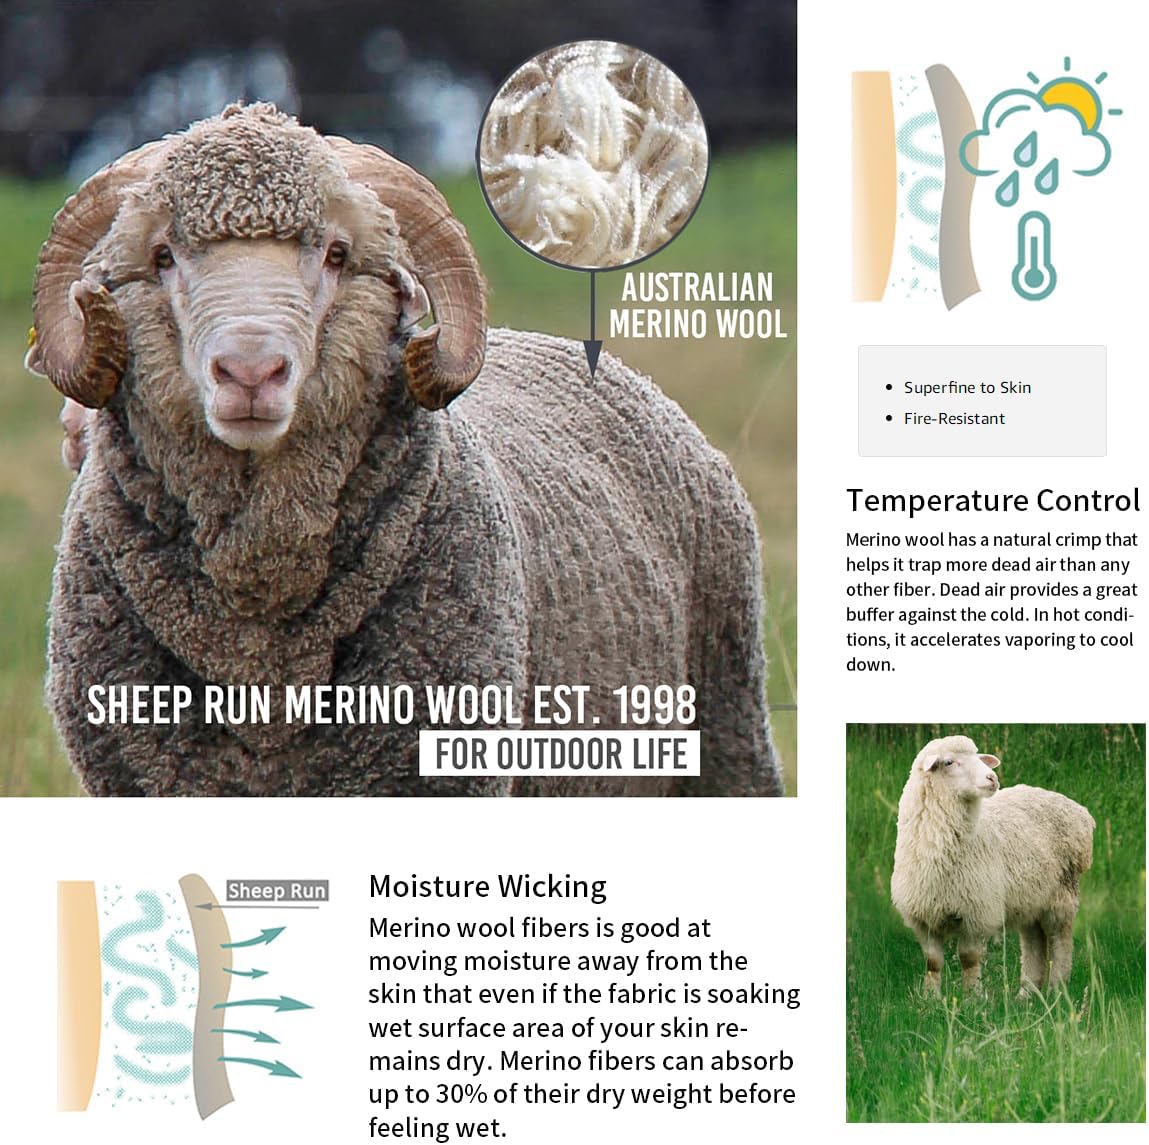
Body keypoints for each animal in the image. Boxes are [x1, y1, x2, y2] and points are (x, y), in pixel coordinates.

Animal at [890, 735, 1094, 995]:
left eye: (979, 758)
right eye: (949, 762)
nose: (992, 778)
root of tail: (1081, 813)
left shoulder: (977, 911)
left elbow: (969, 958)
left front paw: (972, 997)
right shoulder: (923, 917)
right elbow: (932, 962)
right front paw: (930, 998)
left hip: (1061, 893)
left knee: (1060, 940)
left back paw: (1057, 990)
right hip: (1031, 898)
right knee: (1033, 940)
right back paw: (1027, 993)